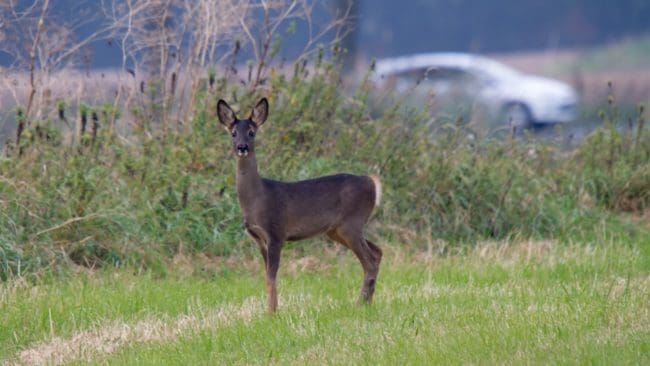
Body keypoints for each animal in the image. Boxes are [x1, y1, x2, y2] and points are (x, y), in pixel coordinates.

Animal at [215, 98, 382, 314]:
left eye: (252, 132)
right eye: (233, 133)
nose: (242, 147)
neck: (258, 198)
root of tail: (372, 182)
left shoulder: (276, 232)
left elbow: (271, 277)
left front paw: (271, 313)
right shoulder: (259, 239)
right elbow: (267, 276)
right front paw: (272, 310)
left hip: (352, 222)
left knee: (370, 261)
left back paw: (359, 304)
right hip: (337, 230)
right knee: (378, 252)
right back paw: (368, 303)